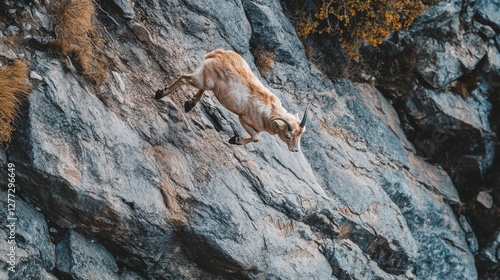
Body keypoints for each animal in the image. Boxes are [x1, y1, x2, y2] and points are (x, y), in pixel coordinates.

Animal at [154, 49, 308, 152]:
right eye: (288, 136)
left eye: (300, 135)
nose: (295, 150)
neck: (270, 111)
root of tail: (219, 54)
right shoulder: (244, 119)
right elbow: (256, 137)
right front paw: (234, 139)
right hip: (201, 80)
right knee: (184, 78)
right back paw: (160, 93)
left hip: (208, 80)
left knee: (201, 87)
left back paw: (189, 104)